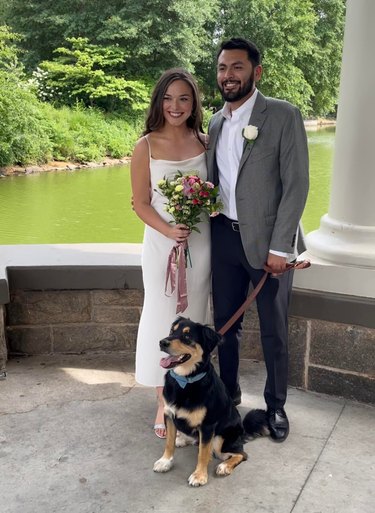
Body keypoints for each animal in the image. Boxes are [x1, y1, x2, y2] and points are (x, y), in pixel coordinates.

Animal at [153, 314, 268, 486]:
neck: (185, 380)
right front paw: (165, 461)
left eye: (187, 336)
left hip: (221, 439)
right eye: (172, 331)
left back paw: (224, 466)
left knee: (241, 454)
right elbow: (169, 442)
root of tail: (242, 431)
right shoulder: (169, 415)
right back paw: (183, 439)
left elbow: (202, 453)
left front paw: (200, 475)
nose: (162, 342)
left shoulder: (207, 425)